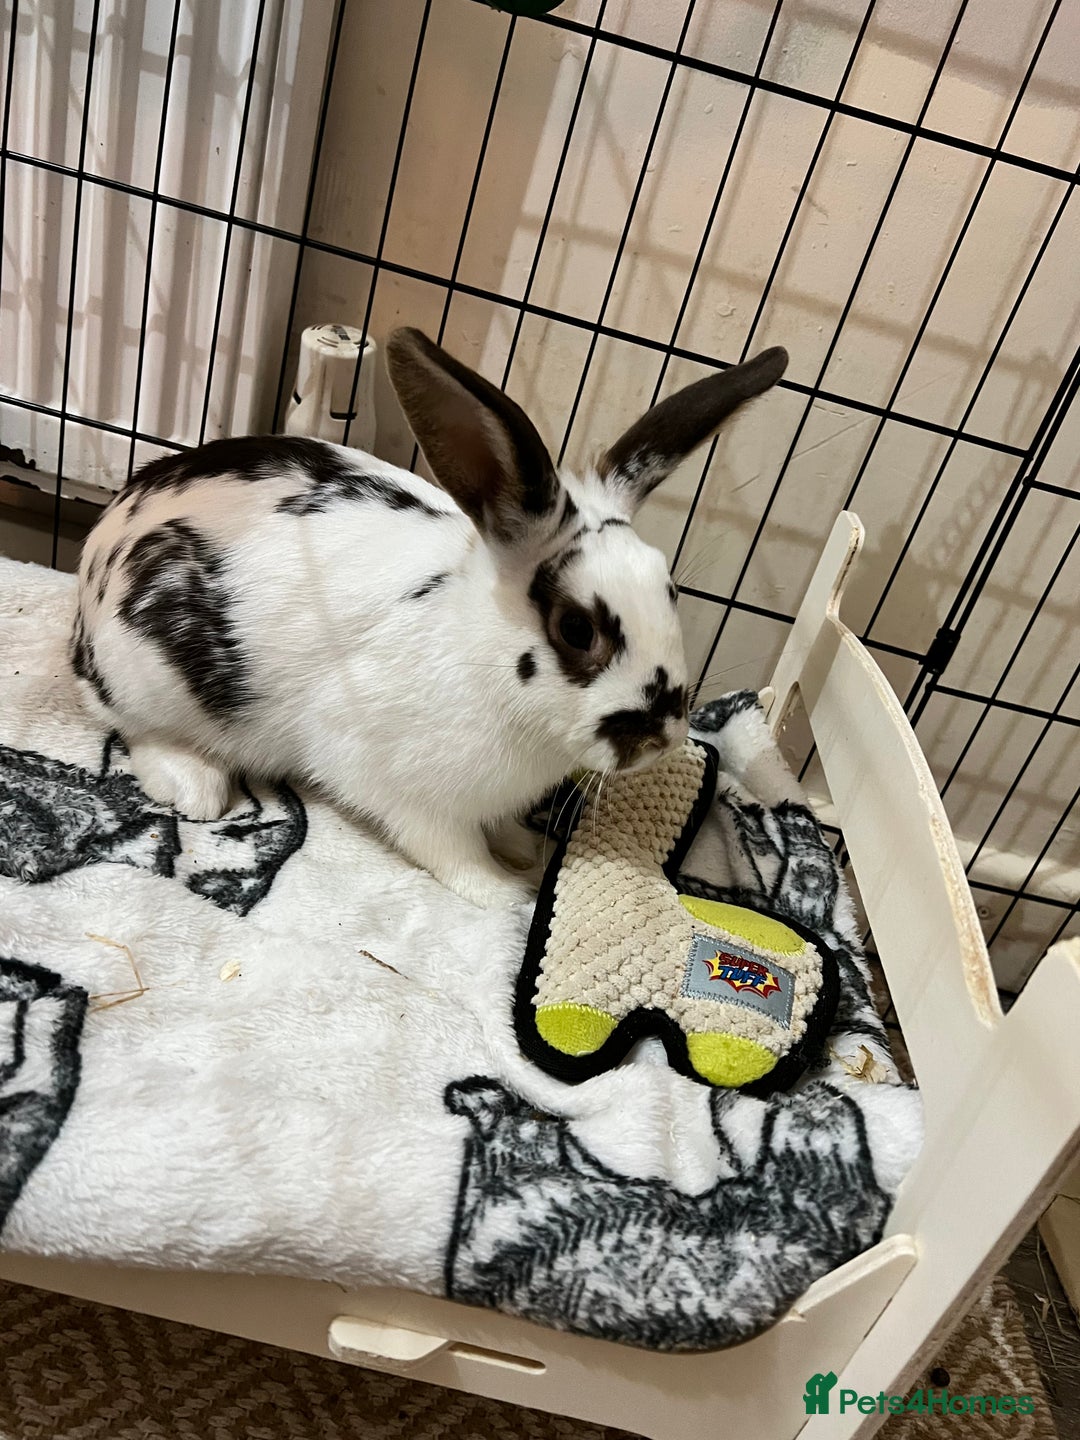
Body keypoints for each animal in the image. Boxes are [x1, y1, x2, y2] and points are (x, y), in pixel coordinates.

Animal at [70, 329, 787, 908]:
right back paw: (195, 785)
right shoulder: (402, 787)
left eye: (671, 589)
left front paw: (523, 849)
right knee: (129, 725)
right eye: (576, 630)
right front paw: (508, 891)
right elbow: (451, 851)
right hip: (147, 674)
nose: (662, 739)